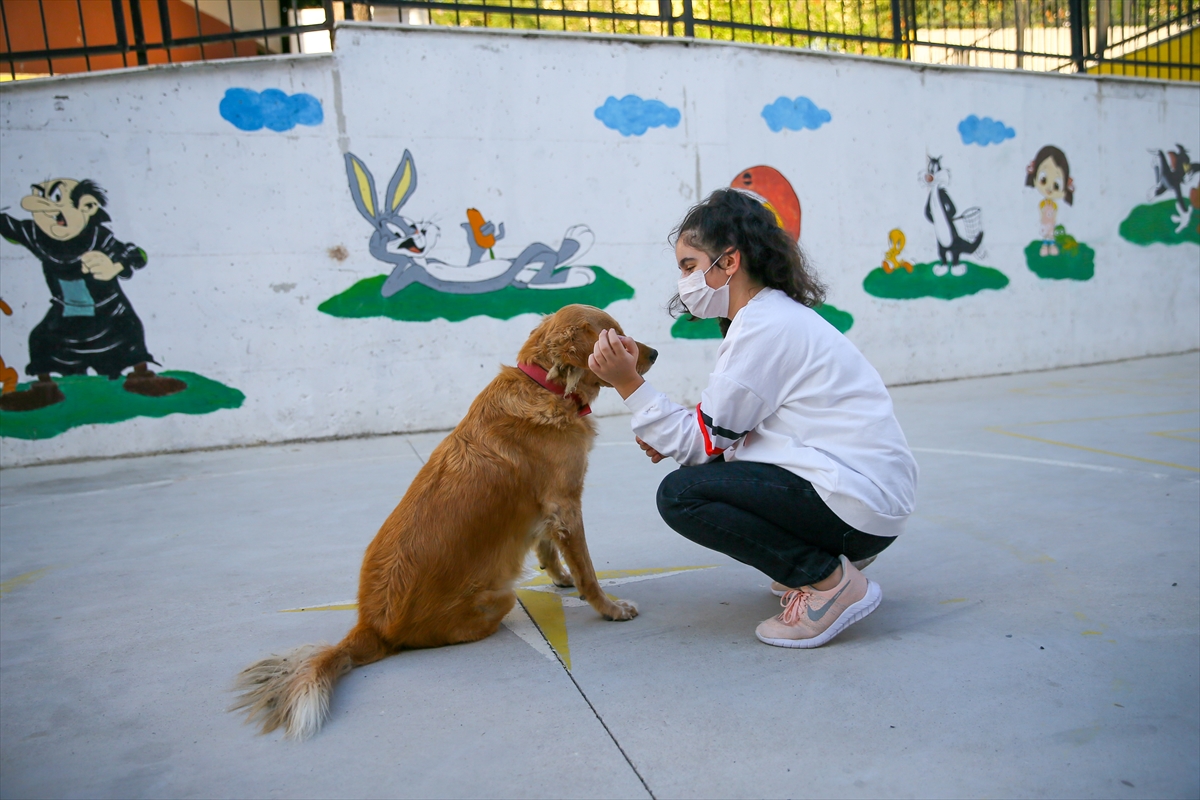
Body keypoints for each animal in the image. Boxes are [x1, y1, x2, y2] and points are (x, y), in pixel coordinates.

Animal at [231, 304, 657, 738]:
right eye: (617, 336)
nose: (655, 354)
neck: (547, 386)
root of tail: (372, 626)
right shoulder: (565, 503)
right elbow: (587, 570)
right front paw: (608, 608)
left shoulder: (543, 509)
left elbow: (547, 548)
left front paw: (559, 577)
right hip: (500, 598)